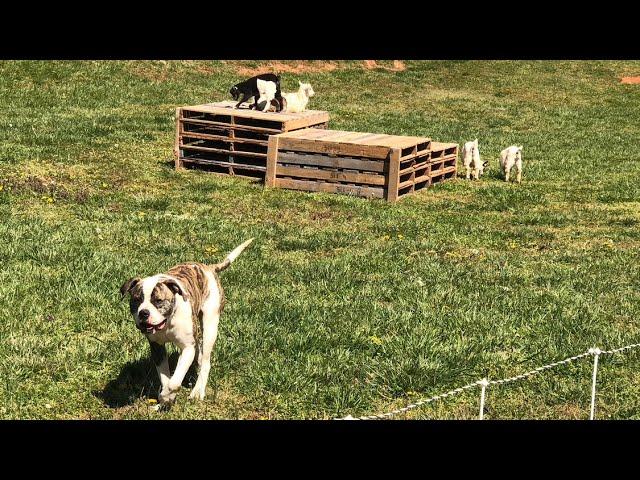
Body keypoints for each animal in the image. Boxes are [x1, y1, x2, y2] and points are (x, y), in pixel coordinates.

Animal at [120, 238, 252, 410]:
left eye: (158, 301)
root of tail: (209, 268)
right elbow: (166, 378)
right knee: (200, 354)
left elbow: (174, 382)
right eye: (136, 300)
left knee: (206, 361)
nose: (144, 313)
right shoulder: (157, 348)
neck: (167, 322)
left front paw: (166, 395)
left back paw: (197, 391)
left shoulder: (187, 348)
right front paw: (166, 398)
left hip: (210, 325)